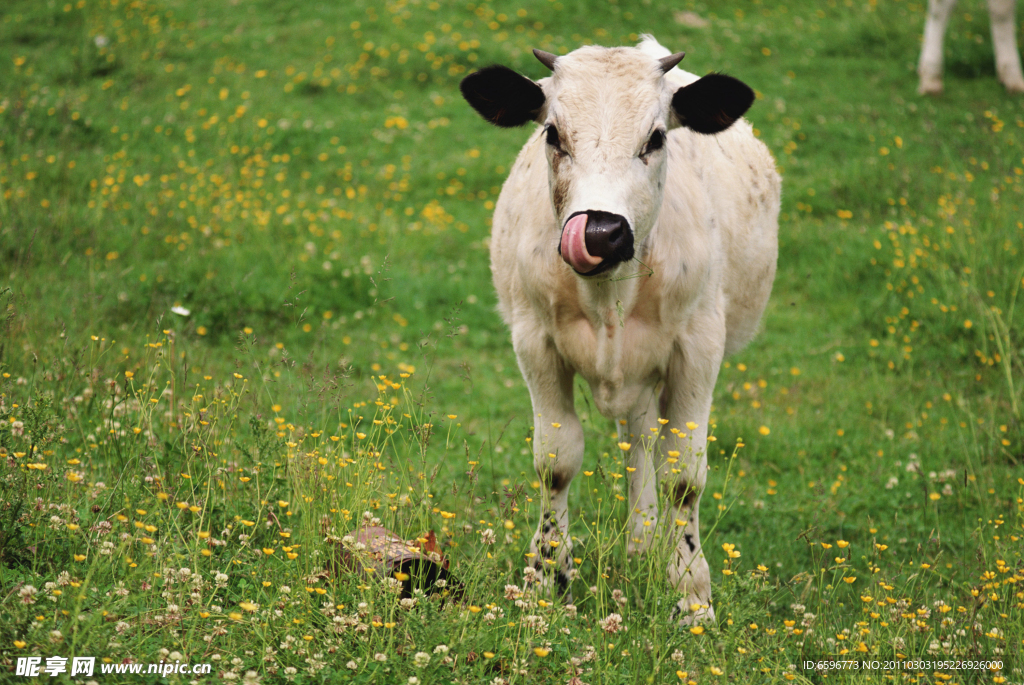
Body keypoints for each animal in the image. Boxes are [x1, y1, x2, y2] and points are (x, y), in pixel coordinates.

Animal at [460, 38, 778, 626]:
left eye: (655, 137)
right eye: (552, 134)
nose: (601, 232)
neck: (609, 295)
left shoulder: (699, 347)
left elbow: (684, 474)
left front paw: (692, 595)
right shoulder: (534, 342)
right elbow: (556, 460)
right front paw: (547, 576)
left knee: (647, 446)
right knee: (638, 439)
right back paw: (639, 543)